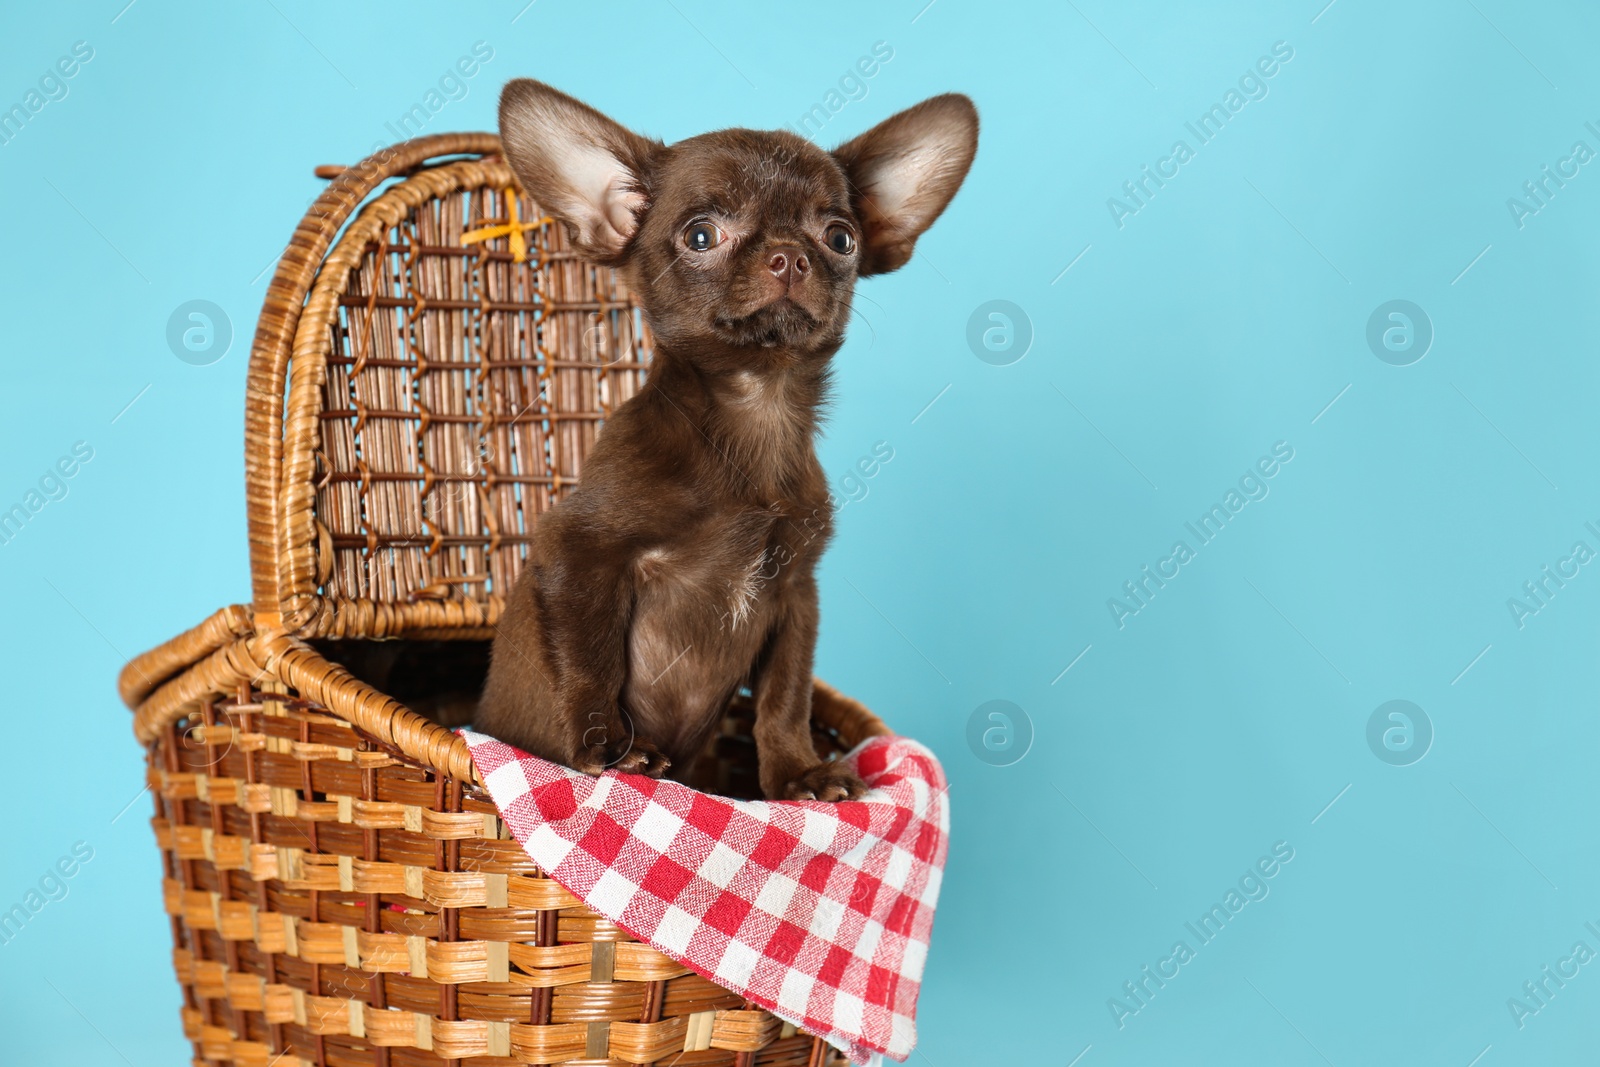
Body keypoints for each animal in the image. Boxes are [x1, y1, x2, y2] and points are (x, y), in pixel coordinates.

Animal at [473, 79, 972, 799]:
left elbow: (784, 698)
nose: (789, 254)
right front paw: (610, 750)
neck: (754, 407)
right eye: (701, 234)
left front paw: (797, 772)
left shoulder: (795, 593)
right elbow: (590, 660)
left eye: (841, 236)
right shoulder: (576, 551)